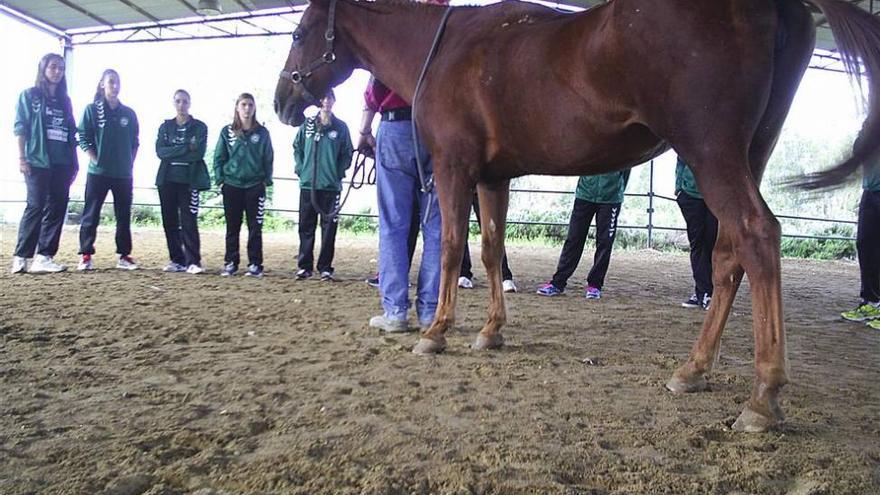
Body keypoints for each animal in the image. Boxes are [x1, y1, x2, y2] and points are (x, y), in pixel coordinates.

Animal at [276, 0, 880, 434]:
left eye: (300, 32)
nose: (283, 101)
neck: (443, 48)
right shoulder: (493, 178)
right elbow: (491, 251)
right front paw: (491, 331)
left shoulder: (453, 167)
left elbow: (448, 247)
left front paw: (436, 332)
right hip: (750, 151)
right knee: (730, 254)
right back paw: (693, 369)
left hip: (712, 152)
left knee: (758, 237)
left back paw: (763, 398)